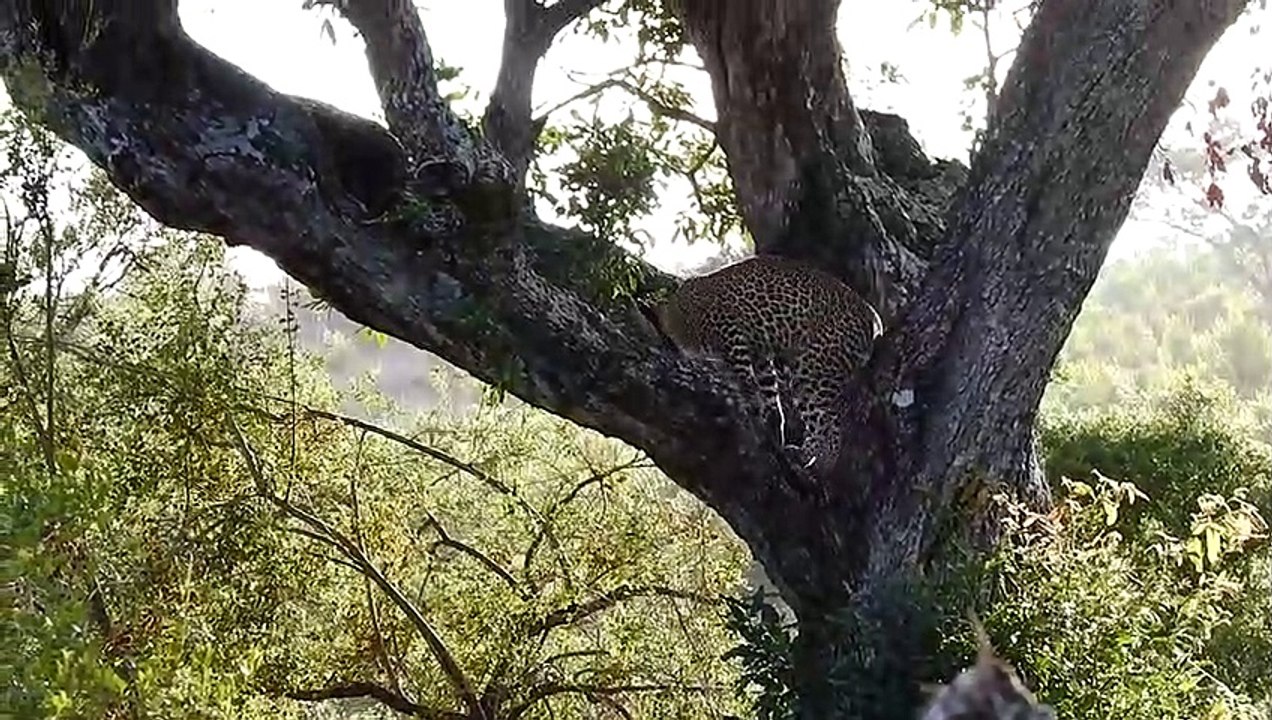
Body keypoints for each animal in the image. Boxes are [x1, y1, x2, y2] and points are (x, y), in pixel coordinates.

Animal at [641, 254, 883, 477]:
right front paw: (771, 426)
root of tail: (871, 315)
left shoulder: (730, 330)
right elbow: (769, 396)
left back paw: (820, 462)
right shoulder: (760, 353)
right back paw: (802, 453)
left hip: (813, 370)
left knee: (831, 422)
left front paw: (751, 408)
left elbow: (746, 380)